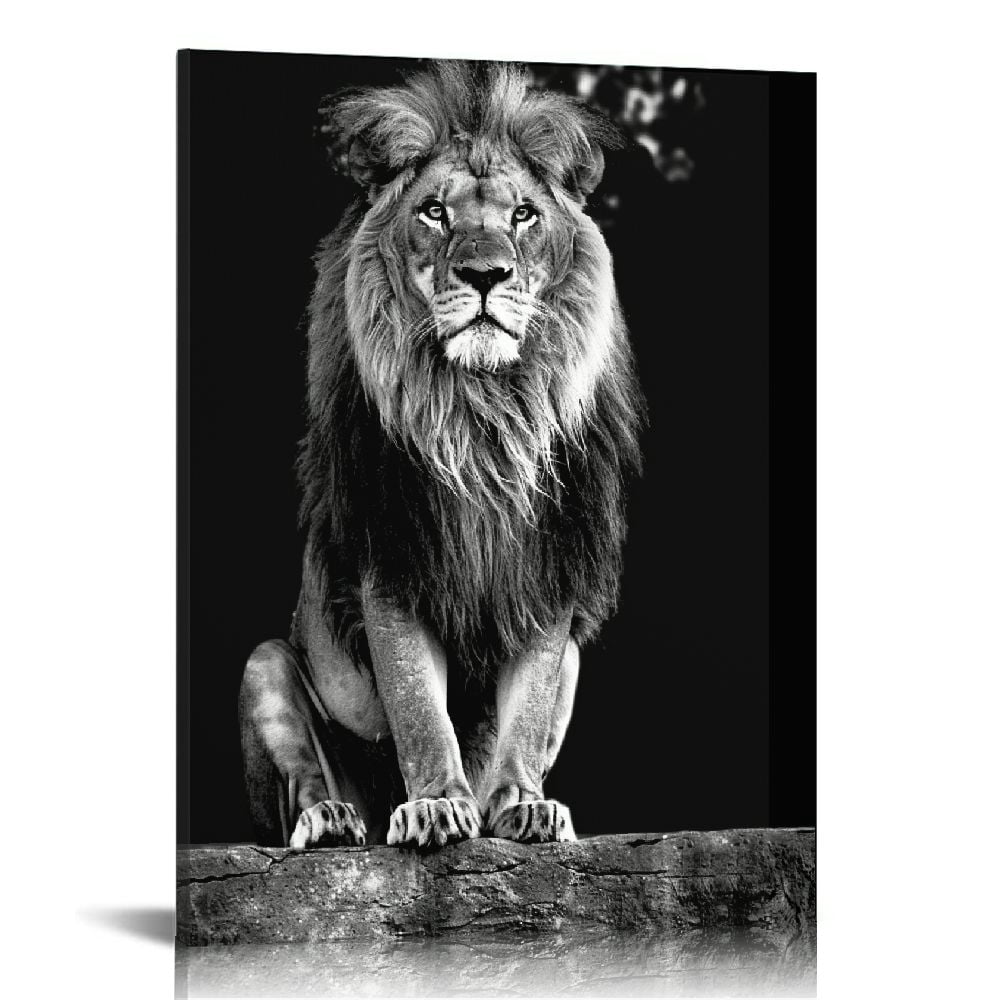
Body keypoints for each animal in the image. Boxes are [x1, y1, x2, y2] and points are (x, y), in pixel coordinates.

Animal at [238, 60, 644, 849]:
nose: (486, 274)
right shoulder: (393, 558)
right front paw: (434, 805)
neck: (482, 414)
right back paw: (330, 820)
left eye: (523, 216)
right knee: (304, 782)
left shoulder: (547, 567)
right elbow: (419, 707)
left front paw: (523, 804)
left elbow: (522, 714)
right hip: (265, 664)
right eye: (433, 212)